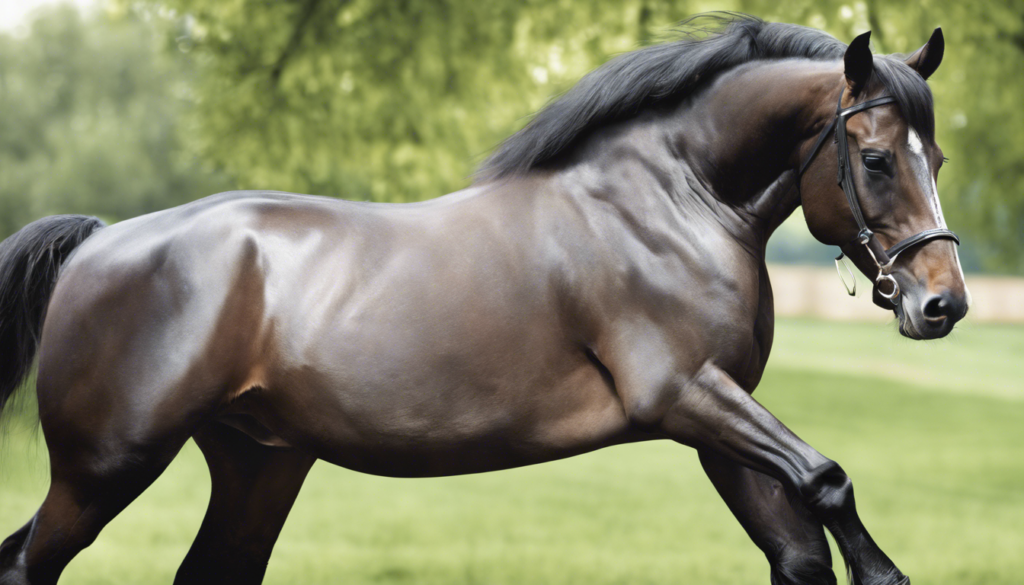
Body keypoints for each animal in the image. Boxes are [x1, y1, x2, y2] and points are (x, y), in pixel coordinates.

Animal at [0, 15, 968, 585]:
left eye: (939, 157)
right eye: (877, 159)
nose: (943, 307)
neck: (671, 203)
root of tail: (98, 241)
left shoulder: (718, 419)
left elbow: (800, 544)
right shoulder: (687, 393)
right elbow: (827, 478)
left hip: (256, 465)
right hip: (102, 470)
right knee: (26, 564)